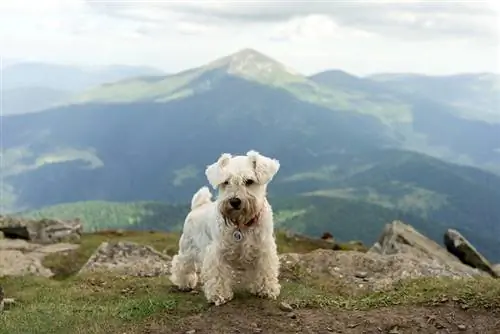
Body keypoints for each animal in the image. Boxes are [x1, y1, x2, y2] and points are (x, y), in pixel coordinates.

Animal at [170, 151, 282, 306]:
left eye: (249, 181)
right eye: (225, 182)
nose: (234, 201)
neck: (241, 224)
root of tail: (198, 206)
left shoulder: (264, 248)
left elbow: (265, 270)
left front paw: (266, 289)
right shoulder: (217, 252)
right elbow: (218, 275)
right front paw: (219, 295)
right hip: (188, 248)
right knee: (180, 263)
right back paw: (184, 283)